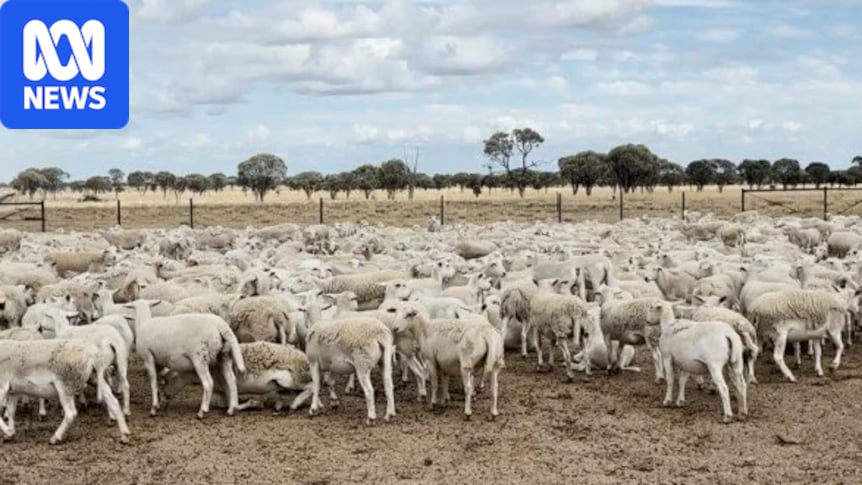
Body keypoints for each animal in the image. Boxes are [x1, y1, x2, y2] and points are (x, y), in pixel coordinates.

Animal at [0, 339, 130, 444]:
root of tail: (92, 356)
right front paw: (10, 434)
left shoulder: (3, 387)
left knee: (71, 413)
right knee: (113, 402)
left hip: (65, 385)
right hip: (95, 379)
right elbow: (11, 412)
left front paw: (8, 431)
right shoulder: (13, 391)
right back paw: (124, 434)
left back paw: (55, 438)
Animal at [161, 342, 312, 413]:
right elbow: (222, 404)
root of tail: (304, 358)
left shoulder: (229, 387)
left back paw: (295, 403)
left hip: (292, 379)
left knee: (312, 386)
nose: (165, 396)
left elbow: (233, 405)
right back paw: (280, 404)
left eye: (167, 380)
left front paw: (254, 403)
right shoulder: (221, 390)